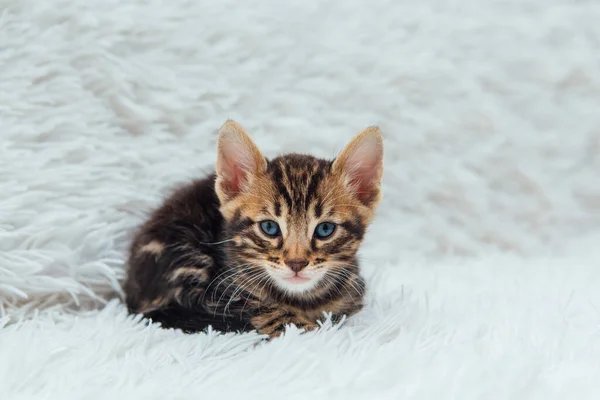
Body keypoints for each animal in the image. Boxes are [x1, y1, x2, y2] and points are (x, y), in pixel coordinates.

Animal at [123, 119, 384, 338]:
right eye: (269, 227)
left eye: (325, 230)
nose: (296, 263)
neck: (302, 300)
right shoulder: (225, 296)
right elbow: (270, 313)